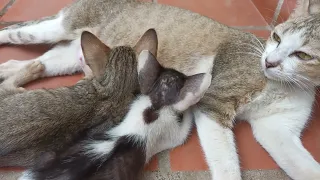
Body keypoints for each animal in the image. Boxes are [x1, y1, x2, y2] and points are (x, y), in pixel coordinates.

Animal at [0, 0, 320, 180]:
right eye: (276, 36)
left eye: (303, 55)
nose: (269, 61)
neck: (286, 86)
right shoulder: (214, 102)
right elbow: (226, 163)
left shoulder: (277, 130)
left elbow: (303, 166)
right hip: (54, 28)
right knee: (15, 31)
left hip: (76, 57)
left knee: (36, 62)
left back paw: (10, 71)